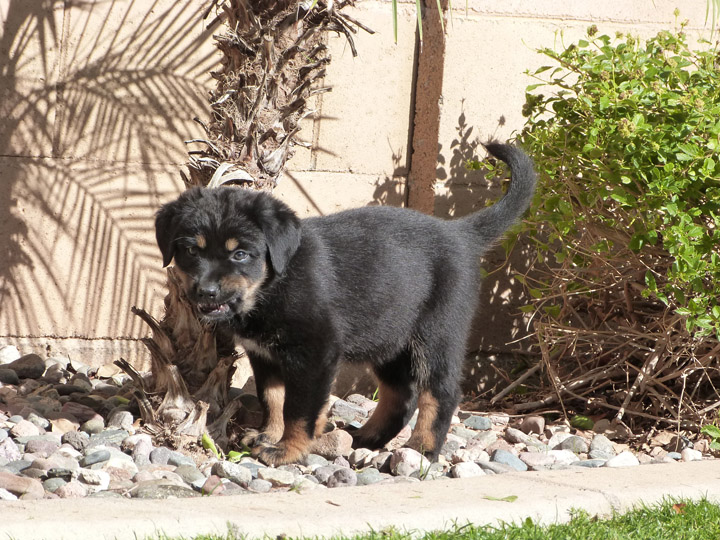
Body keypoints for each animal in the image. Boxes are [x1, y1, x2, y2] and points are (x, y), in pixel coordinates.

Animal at [155, 142, 536, 464]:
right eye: (191, 251)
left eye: (240, 254)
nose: (205, 292)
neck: (274, 284)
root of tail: (460, 233)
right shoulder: (263, 355)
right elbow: (273, 400)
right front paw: (269, 436)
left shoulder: (315, 353)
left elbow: (300, 409)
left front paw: (288, 450)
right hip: (390, 336)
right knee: (401, 394)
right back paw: (366, 438)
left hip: (437, 333)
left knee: (440, 391)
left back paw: (422, 449)